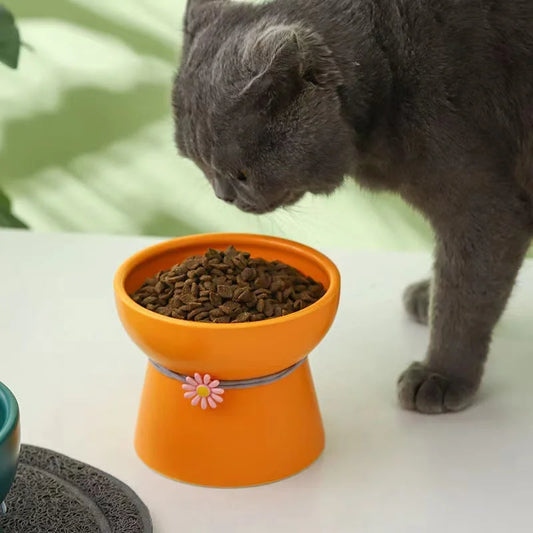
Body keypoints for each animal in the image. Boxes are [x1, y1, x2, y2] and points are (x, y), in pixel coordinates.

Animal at [172, 0, 532, 414]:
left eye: (241, 174)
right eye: (201, 165)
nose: (224, 195)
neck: (394, 67)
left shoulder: (483, 202)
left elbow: (464, 294)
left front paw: (440, 375)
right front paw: (429, 294)